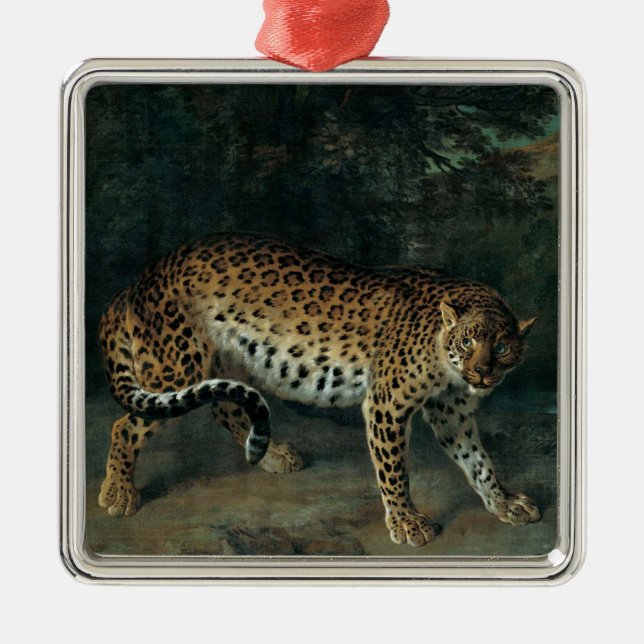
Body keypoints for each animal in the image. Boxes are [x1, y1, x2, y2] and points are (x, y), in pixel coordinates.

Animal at [97, 232, 540, 546]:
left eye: (502, 347)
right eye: (468, 341)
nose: (482, 372)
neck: (445, 361)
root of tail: (141, 279)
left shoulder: (451, 413)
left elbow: (478, 461)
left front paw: (504, 503)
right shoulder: (387, 404)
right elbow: (394, 470)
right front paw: (406, 522)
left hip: (228, 361)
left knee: (227, 407)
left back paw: (272, 455)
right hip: (177, 366)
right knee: (127, 424)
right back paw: (119, 494)